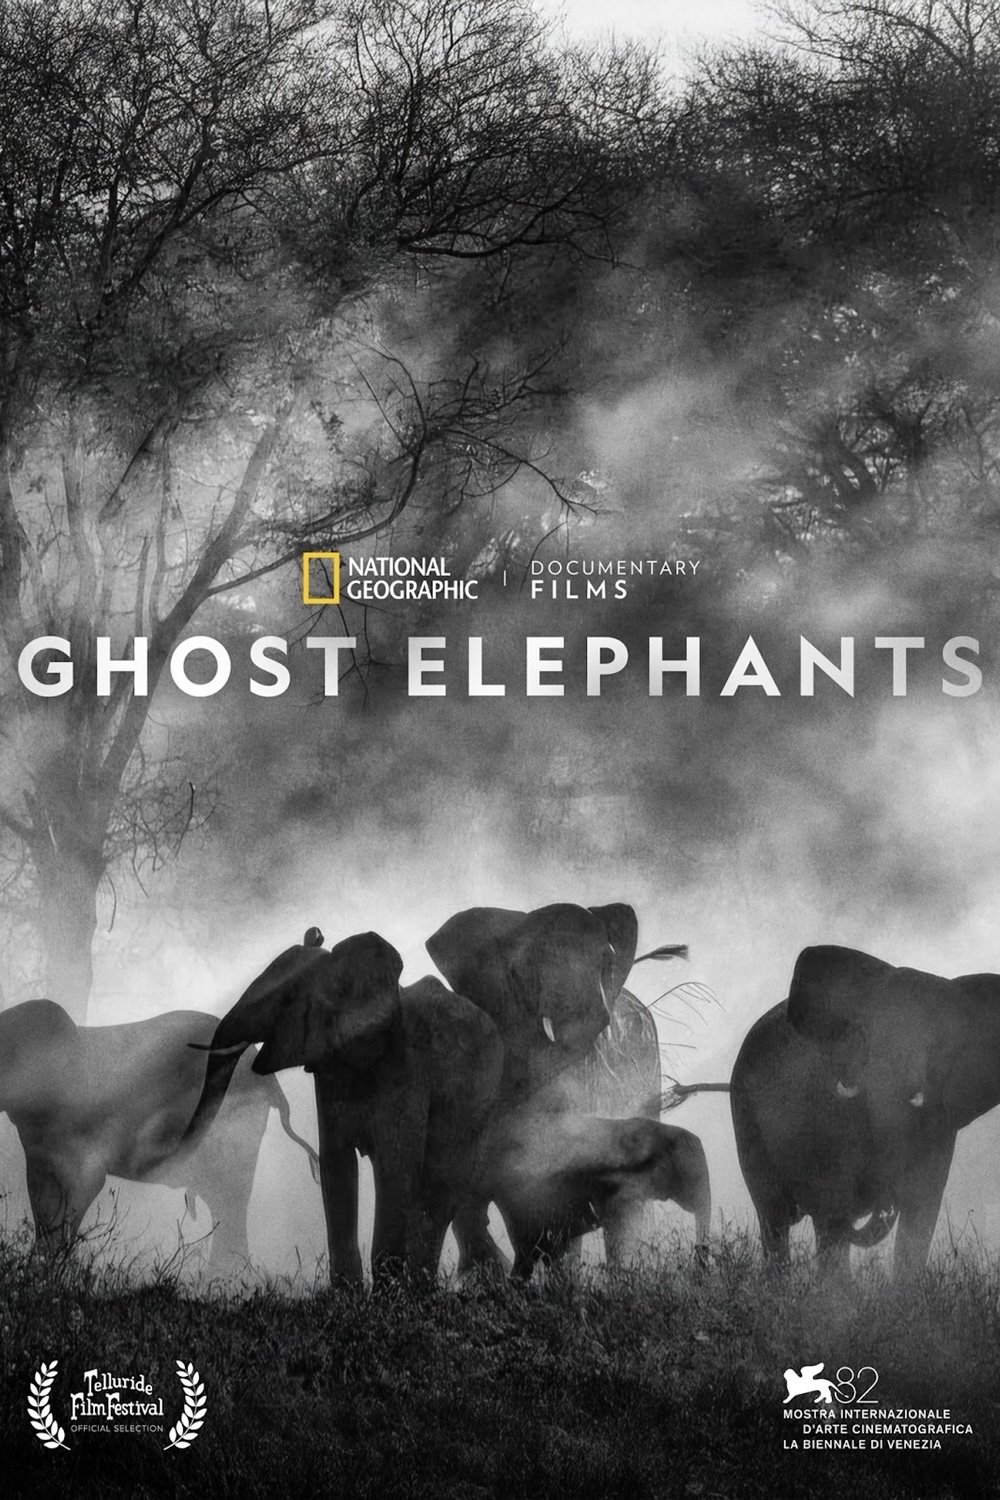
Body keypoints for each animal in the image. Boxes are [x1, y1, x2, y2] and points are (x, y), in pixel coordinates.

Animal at [0, 998, 319, 1272]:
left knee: (230, 1197)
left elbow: (84, 1187)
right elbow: (42, 1197)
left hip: (235, 1125)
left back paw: (225, 1278)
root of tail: (272, 1084)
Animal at [182, 929, 505, 1285]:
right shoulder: (328, 1066)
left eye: (287, 1000)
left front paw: (388, 1291)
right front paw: (347, 1291)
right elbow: (335, 1164)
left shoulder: (407, 1065)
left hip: (479, 1102)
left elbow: (394, 1163)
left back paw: (424, 1286)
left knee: (441, 1187)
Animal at [732, 943, 1000, 1276]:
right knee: (776, 1217)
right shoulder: (825, 1109)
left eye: (939, 1042)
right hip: (745, 1114)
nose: (886, 1204)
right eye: (865, 1033)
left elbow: (921, 1208)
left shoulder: (940, 1120)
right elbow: (833, 1203)